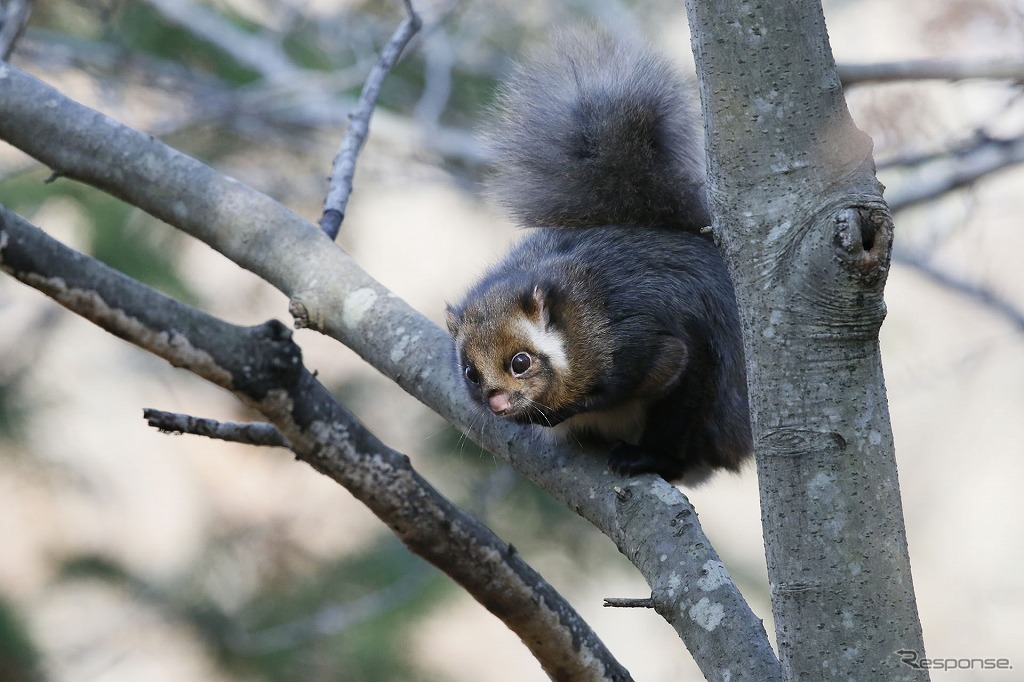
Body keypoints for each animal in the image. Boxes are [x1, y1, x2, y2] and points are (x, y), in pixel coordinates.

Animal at [442, 30, 753, 483]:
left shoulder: (639, 344)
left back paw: (651, 459)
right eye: (468, 371)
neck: (571, 326)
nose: (497, 403)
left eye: (520, 362)